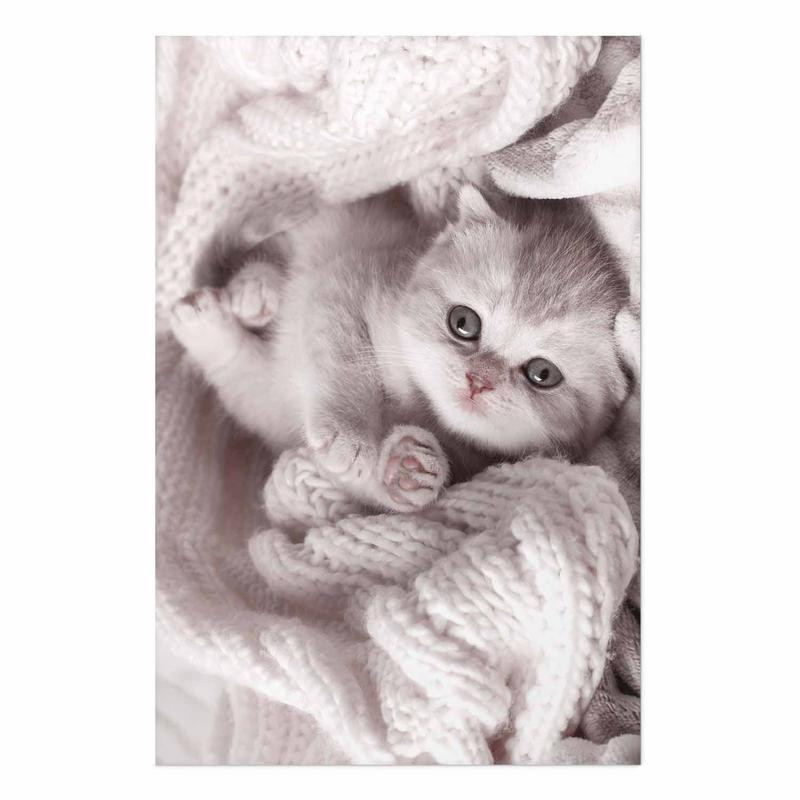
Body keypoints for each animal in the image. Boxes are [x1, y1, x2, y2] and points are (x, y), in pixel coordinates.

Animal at [169, 184, 630, 512]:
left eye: (542, 374)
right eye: (464, 322)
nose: (478, 380)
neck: (416, 403)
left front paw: (412, 469)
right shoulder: (345, 283)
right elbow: (342, 360)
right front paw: (349, 434)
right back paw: (251, 292)